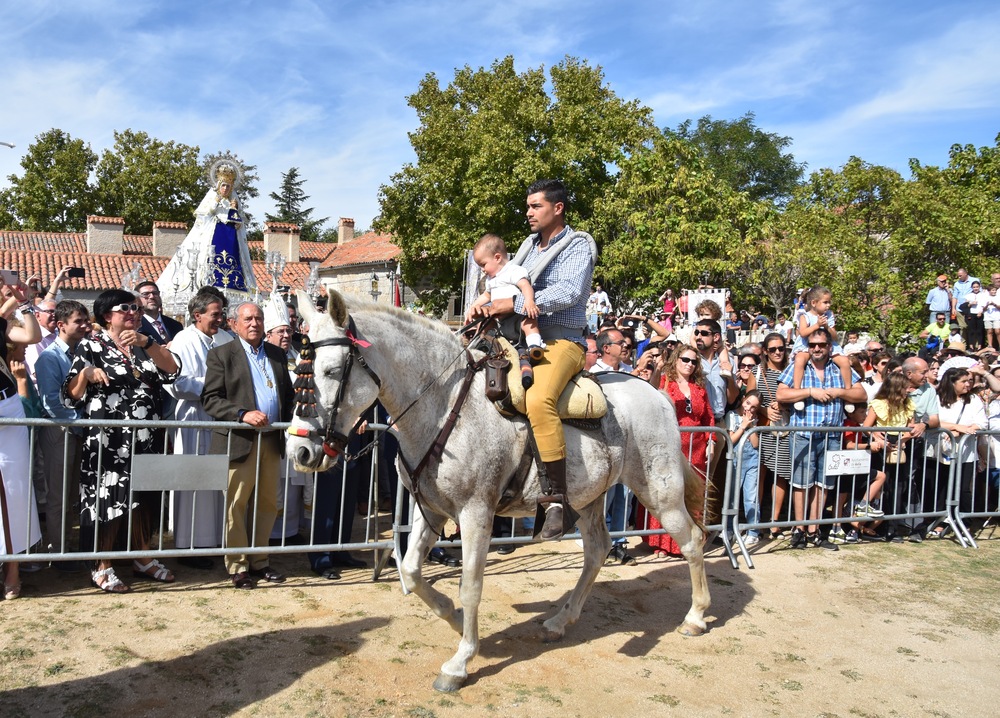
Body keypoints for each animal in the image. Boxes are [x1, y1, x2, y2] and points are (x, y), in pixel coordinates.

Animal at [290, 292, 712, 692]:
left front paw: (460, 662)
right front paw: (455, 619)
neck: (444, 406)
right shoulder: (431, 509)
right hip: (589, 499)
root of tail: (655, 393)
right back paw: (561, 619)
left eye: (331, 370)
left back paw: (695, 616)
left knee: (692, 540)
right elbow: (410, 570)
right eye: (299, 370)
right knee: (597, 550)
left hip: (660, 492)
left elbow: (471, 586)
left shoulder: (476, 514)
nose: (301, 451)